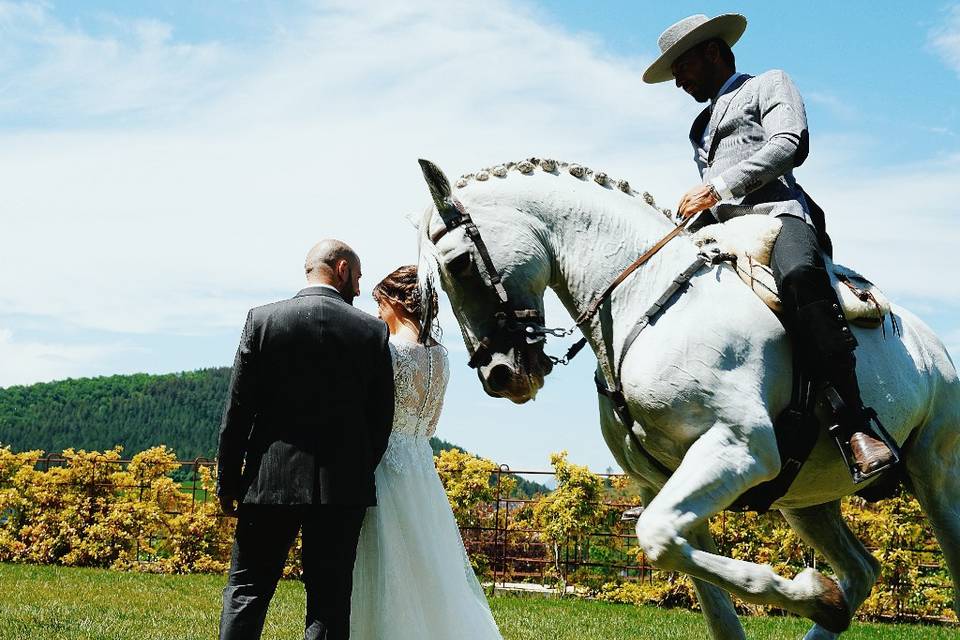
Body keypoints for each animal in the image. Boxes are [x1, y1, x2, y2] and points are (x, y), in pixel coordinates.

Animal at [418, 159, 960, 640]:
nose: (499, 375)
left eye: (459, 264)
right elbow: (695, 580)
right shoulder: (660, 483)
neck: (646, 299)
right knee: (861, 570)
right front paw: (819, 597)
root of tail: (934, 346)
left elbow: (657, 538)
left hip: (935, 475)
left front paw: (809, 591)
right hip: (807, 500)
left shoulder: (739, 449)